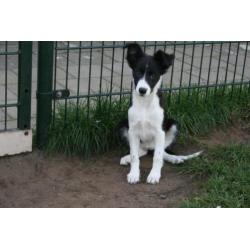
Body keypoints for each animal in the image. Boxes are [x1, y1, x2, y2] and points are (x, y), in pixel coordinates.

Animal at [118, 42, 201, 184]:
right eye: (137, 72)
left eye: (152, 75)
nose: (142, 90)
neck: (145, 103)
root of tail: (149, 146)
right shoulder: (132, 131)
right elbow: (135, 156)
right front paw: (134, 174)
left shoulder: (160, 132)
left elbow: (157, 157)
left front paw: (154, 175)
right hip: (124, 126)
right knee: (142, 151)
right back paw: (127, 158)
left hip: (173, 125)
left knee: (161, 152)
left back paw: (175, 158)